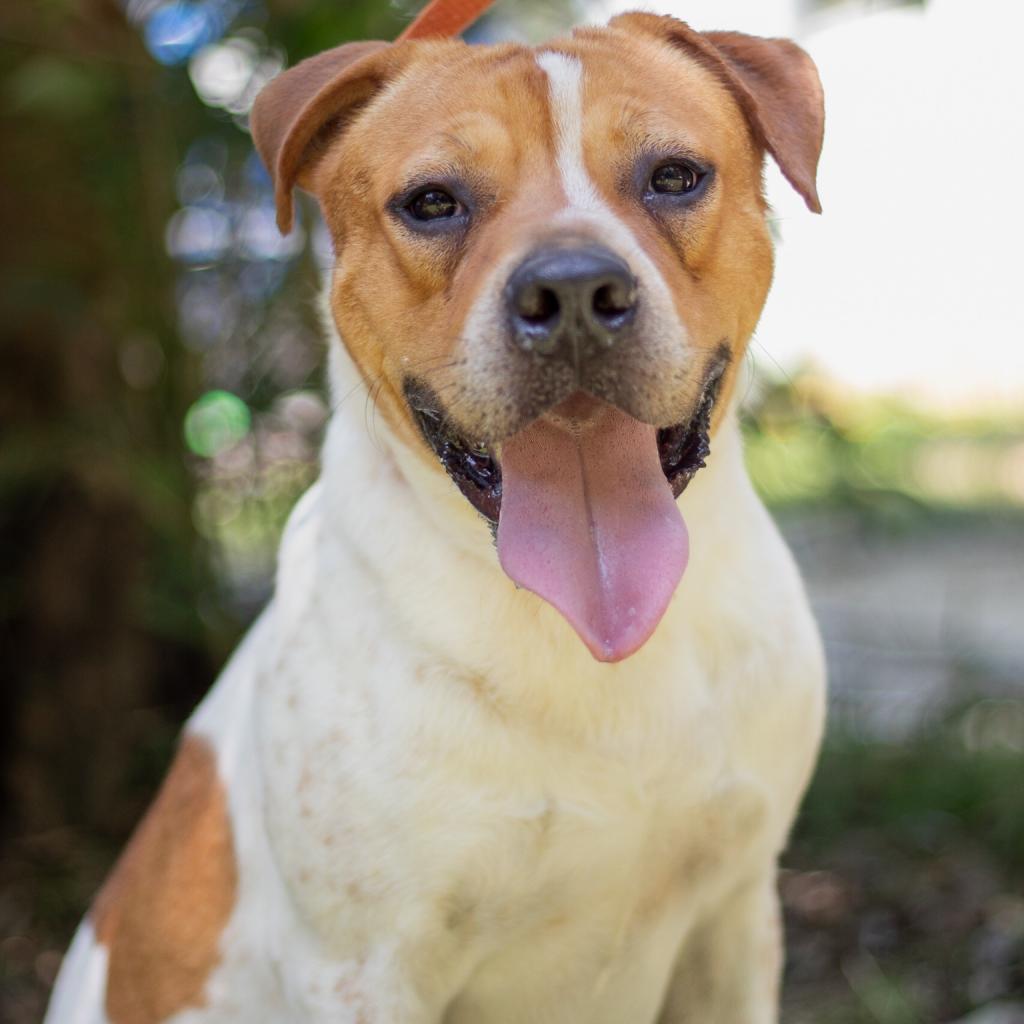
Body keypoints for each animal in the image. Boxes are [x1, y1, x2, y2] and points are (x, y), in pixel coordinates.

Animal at [48, 9, 827, 1024]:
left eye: (673, 176)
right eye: (432, 202)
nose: (573, 293)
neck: (590, 635)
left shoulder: (736, 913)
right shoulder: (363, 970)